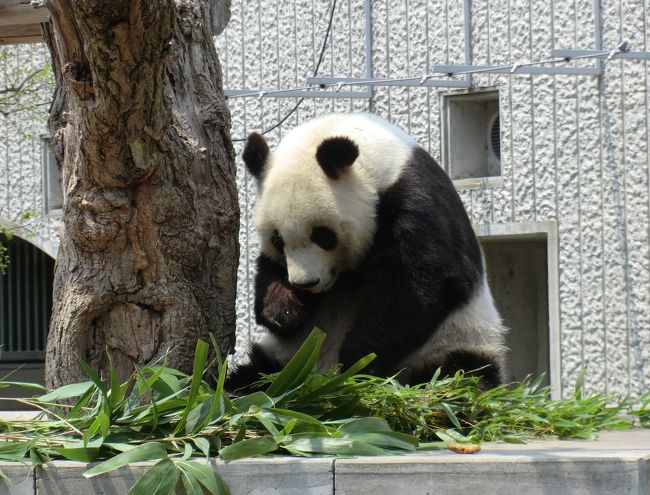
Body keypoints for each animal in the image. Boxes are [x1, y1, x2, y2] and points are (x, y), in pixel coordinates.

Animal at [228, 112, 506, 392]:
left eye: (322, 235)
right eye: (278, 240)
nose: (305, 284)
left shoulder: (416, 198)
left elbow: (423, 283)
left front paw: (357, 360)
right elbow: (268, 271)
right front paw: (283, 311)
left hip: (458, 340)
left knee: (461, 376)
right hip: (287, 358)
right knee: (253, 374)